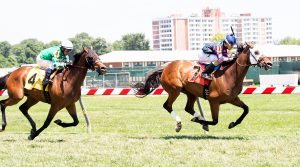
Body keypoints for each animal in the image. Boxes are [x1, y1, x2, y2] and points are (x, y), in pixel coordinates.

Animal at [135, 42, 274, 132]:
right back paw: (180, 124)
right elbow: (215, 121)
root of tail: (166, 67)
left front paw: (233, 124)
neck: (229, 75)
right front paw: (199, 121)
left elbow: (246, 109)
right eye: (256, 52)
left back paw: (199, 120)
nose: (269, 63)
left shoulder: (233, 99)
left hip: (190, 92)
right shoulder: (214, 101)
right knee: (167, 106)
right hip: (175, 90)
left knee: (188, 108)